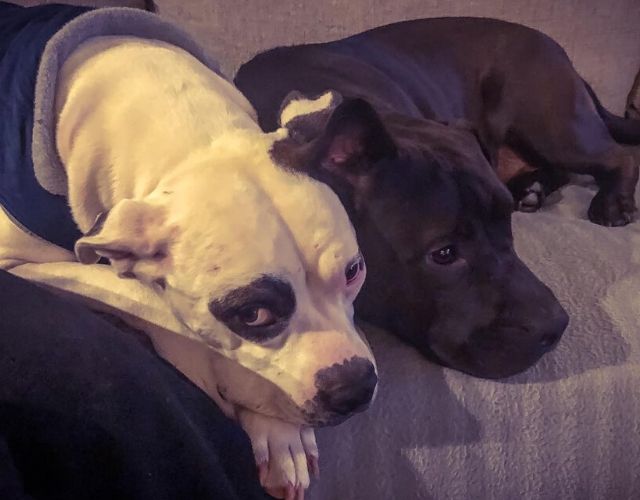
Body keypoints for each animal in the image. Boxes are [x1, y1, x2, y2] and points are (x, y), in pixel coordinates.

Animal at [0, 4, 377, 498]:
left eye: (354, 271)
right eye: (252, 314)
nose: (355, 386)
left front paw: (278, 430)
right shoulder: (16, 259)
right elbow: (142, 296)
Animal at [231, 16, 640, 378]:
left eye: (506, 222)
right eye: (443, 254)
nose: (556, 325)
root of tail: (560, 53)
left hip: (552, 123)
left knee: (618, 155)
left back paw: (611, 203)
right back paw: (535, 189)